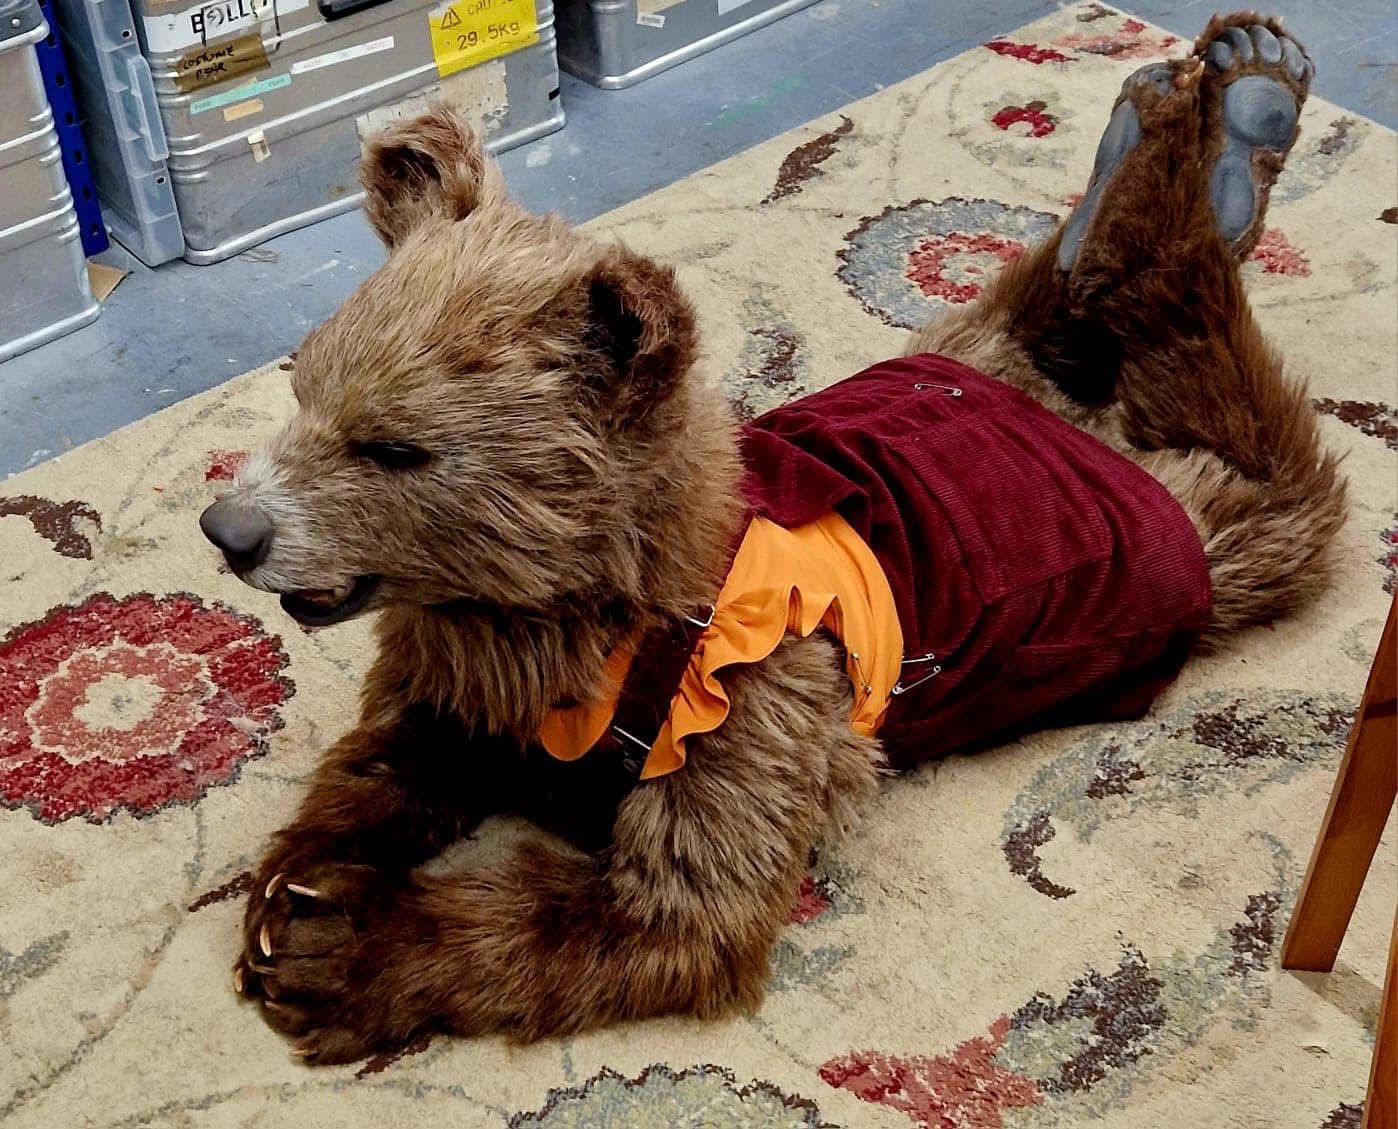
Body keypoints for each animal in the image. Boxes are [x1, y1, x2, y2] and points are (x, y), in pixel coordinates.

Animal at [200, 12, 1344, 1063]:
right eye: (304, 389)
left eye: (396, 447)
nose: (230, 527)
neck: (586, 613)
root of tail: (1075, 428)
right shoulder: (477, 669)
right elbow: (395, 750)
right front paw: (292, 882)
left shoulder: (751, 701)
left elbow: (666, 910)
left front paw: (336, 946)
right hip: (964, 350)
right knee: (1059, 294)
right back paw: (1183, 126)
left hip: (1193, 527)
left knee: (1227, 396)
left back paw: (1220, 105)